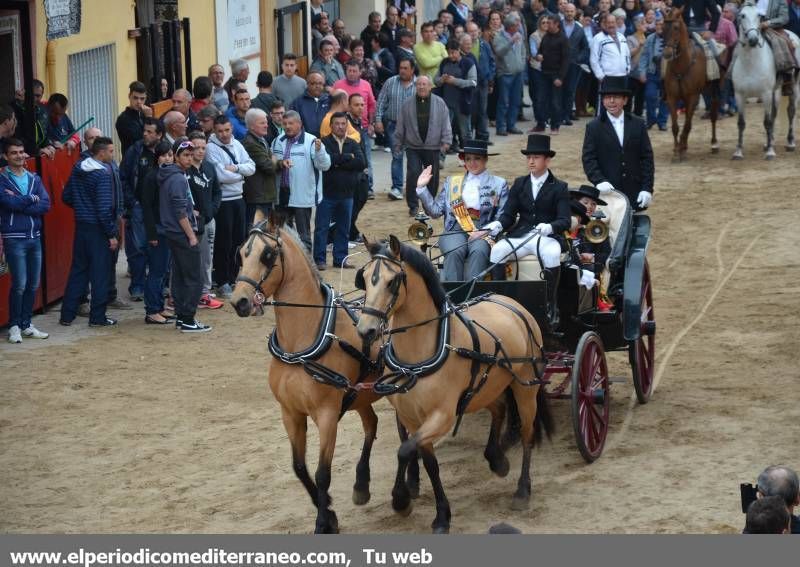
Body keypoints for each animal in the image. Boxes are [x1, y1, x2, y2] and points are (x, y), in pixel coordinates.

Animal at [660, 6, 720, 162]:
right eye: (662, 27)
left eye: (676, 27)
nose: (667, 53)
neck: (681, 66)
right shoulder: (672, 98)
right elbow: (676, 126)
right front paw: (677, 151)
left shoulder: (692, 97)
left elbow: (687, 125)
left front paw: (682, 150)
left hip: (714, 90)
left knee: (713, 116)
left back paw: (714, 144)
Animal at [732, 1, 800, 160]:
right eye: (742, 15)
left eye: (759, 16)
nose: (753, 40)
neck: (751, 63)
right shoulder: (739, 95)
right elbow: (741, 123)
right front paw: (738, 152)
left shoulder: (766, 94)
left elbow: (767, 122)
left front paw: (770, 152)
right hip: (777, 91)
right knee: (775, 114)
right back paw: (771, 141)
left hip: (794, 87)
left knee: (791, 111)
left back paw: (790, 142)